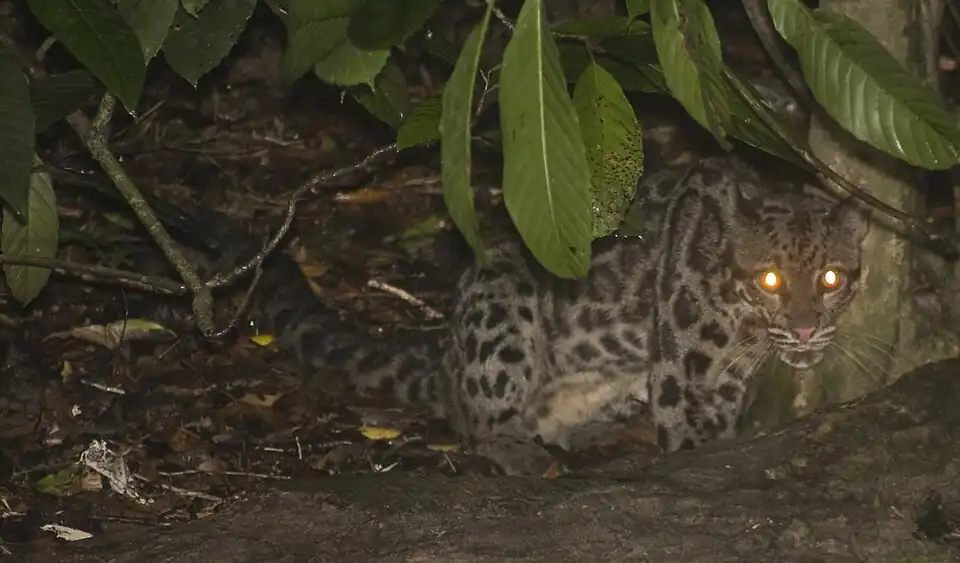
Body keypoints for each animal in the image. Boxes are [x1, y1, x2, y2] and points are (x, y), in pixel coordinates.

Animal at [254, 154, 868, 475]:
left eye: (832, 279)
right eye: (771, 280)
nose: (806, 329)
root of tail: (444, 352)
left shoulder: (719, 387)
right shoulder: (684, 378)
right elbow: (689, 441)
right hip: (502, 300)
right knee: (480, 420)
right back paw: (522, 451)